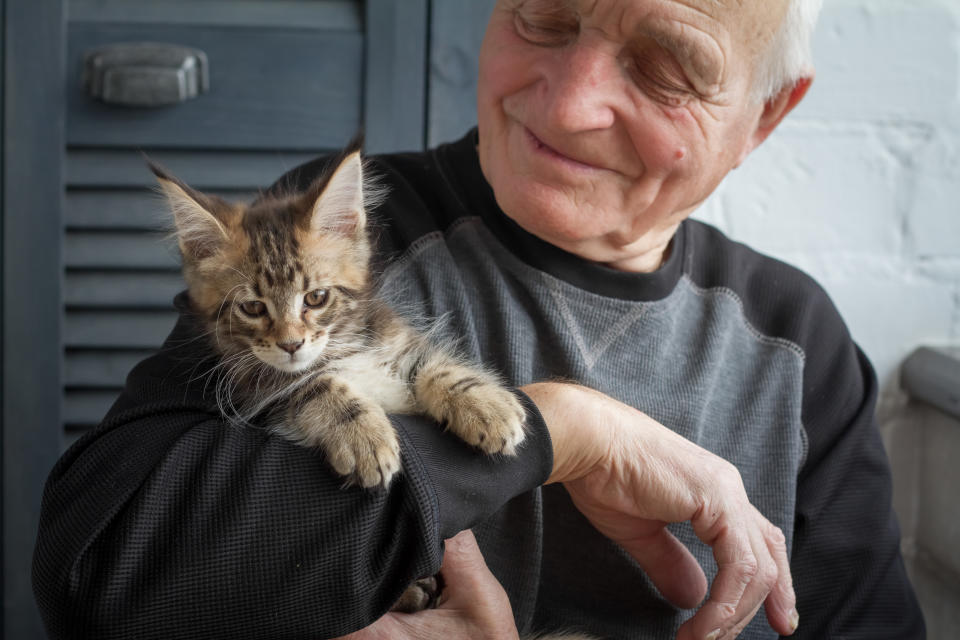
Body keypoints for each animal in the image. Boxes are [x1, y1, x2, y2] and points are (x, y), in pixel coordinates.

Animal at [152, 151, 524, 490]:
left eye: (316, 298)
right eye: (253, 308)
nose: (291, 345)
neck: (340, 348)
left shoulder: (394, 335)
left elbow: (432, 364)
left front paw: (485, 404)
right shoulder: (261, 395)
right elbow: (315, 384)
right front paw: (363, 435)